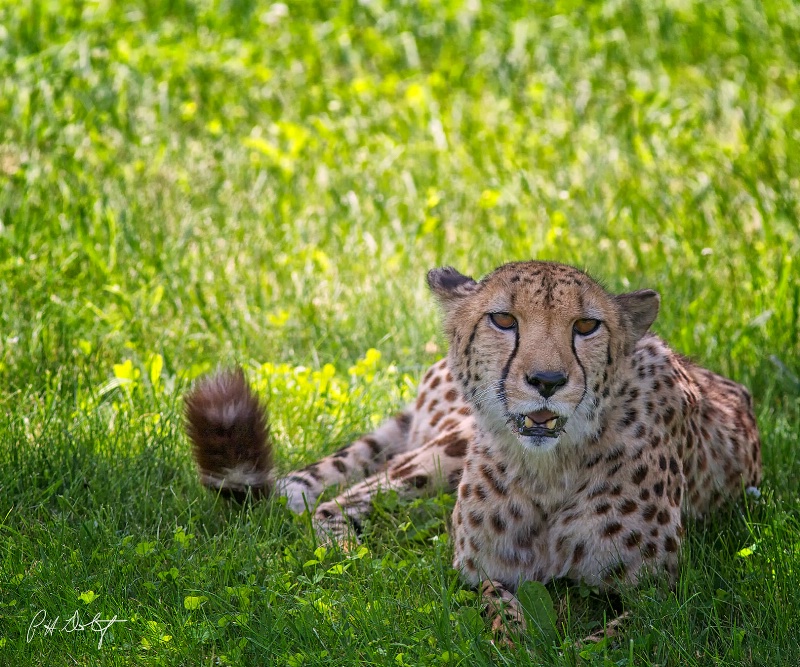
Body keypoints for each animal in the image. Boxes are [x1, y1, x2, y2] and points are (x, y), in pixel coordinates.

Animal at [183, 260, 764, 636]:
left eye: (586, 325)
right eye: (503, 320)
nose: (547, 381)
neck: (548, 470)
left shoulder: (661, 594)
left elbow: (617, 635)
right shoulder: (481, 571)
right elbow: (500, 612)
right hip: (448, 447)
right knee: (339, 501)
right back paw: (356, 561)